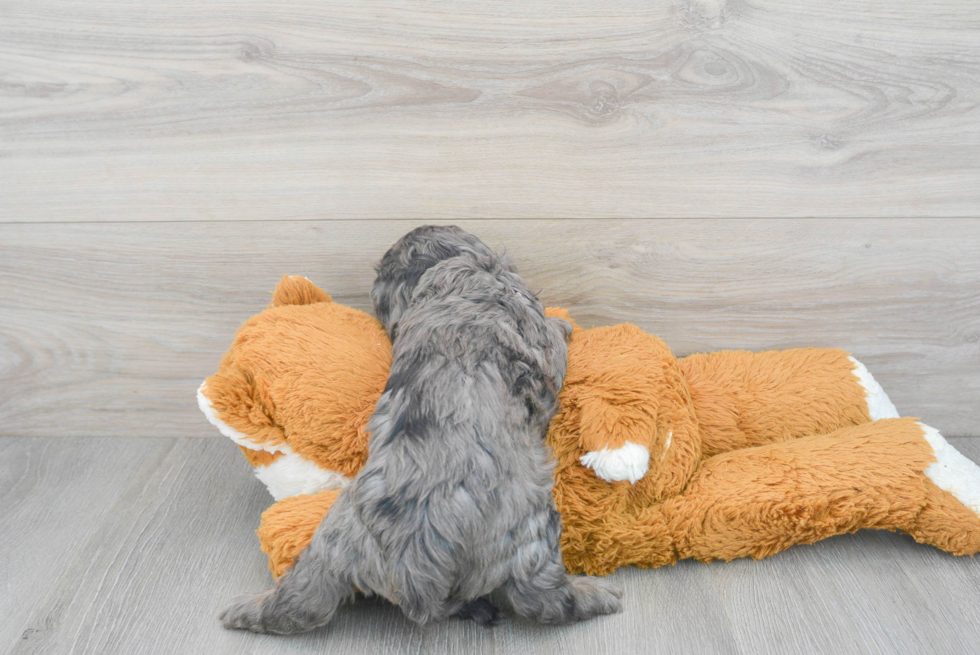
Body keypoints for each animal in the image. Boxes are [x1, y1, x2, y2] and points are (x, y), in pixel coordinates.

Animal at [220, 227, 620, 636]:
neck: (450, 271)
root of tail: (411, 561)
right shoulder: (535, 332)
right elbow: (554, 335)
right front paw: (563, 322)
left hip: (330, 546)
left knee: (301, 602)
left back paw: (249, 609)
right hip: (530, 533)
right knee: (542, 599)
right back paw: (592, 596)